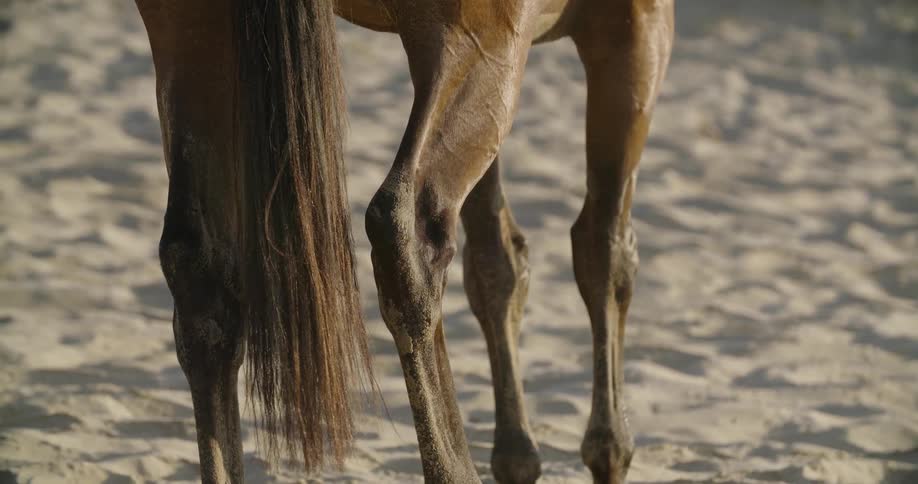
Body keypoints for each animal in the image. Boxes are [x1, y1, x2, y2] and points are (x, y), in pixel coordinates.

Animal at [134, 0, 673, 482]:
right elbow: (604, 252)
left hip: (191, 33)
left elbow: (496, 264)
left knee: (196, 270)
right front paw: (609, 451)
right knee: (404, 231)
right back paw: (454, 469)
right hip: (482, 43)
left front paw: (517, 458)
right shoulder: (635, 29)